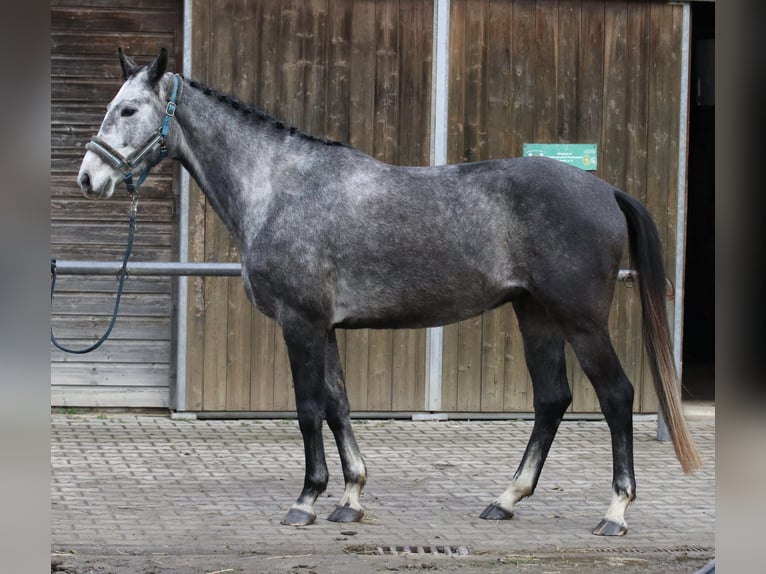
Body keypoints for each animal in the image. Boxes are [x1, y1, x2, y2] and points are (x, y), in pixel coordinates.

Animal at [78, 47, 704, 536]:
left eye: (128, 109)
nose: (89, 178)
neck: (280, 186)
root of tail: (605, 190)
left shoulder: (300, 323)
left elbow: (308, 409)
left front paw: (306, 501)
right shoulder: (325, 327)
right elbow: (338, 406)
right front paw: (350, 499)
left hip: (581, 321)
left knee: (616, 395)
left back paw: (615, 511)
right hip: (536, 316)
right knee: (552, 399)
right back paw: (505, 501)